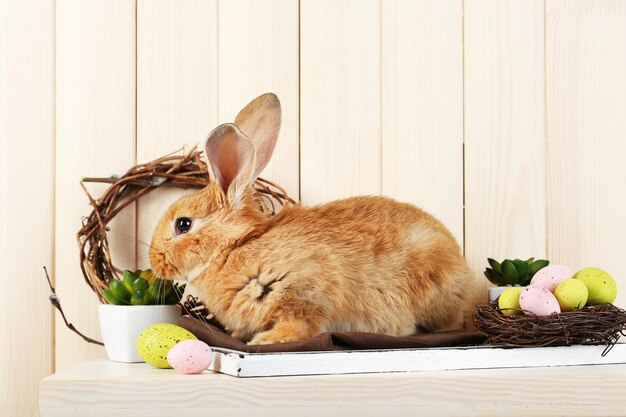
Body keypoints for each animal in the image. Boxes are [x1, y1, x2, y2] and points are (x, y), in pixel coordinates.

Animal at [150, 92, 472, 342]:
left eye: (183, 224)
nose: (154, 262)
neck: (233, 247)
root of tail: (463, 269)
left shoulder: (304, 293)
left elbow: (302, 324)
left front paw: (266, 340)